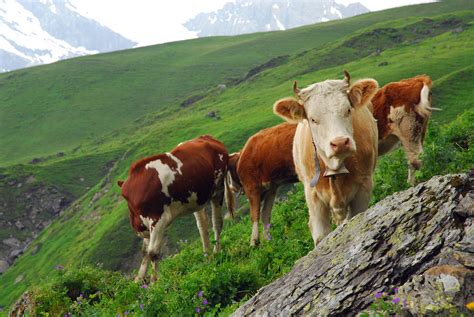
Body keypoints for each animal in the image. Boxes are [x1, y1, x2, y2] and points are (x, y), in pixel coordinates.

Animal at [116, 135, 231, 280]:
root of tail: (206, 137)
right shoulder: (145, 227)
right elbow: (144, 253)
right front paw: (139, 279)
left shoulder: (158, 220)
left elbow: (152, 252)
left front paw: (156, 280)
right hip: (196, 198)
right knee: (202, 225)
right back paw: (207, 255)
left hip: (218, 189)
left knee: (217, 223)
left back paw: (216, 251)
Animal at [274, 71, 378, 244]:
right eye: (312, 119)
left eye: (348, 110)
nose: (340, 143)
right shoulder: (313, 196)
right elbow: (321, 235)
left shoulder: (364, 186)